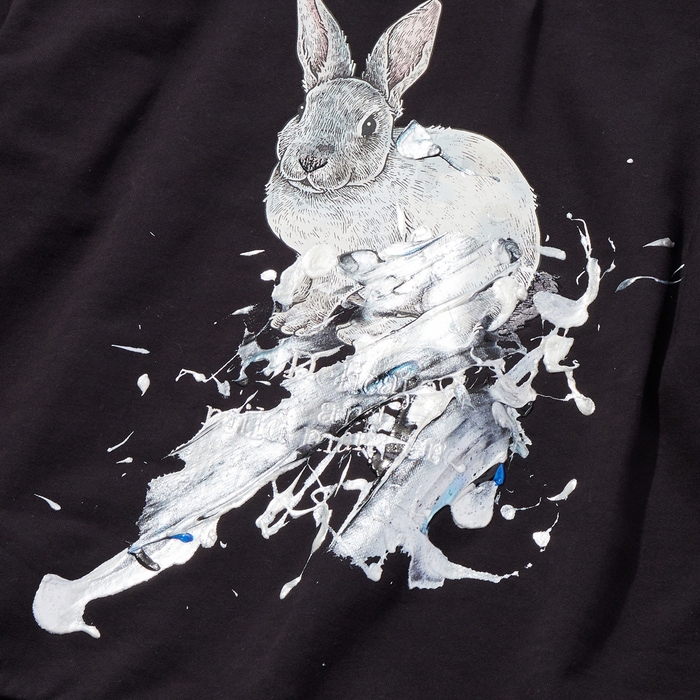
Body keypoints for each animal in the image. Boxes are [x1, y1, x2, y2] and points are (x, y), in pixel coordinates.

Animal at [265, 0, 541, 336]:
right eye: (302, 109)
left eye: (369, 125)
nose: (310, 161)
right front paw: (289, 296)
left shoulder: (347, 263)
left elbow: (326, 292)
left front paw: (294, 321)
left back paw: (358, 330)